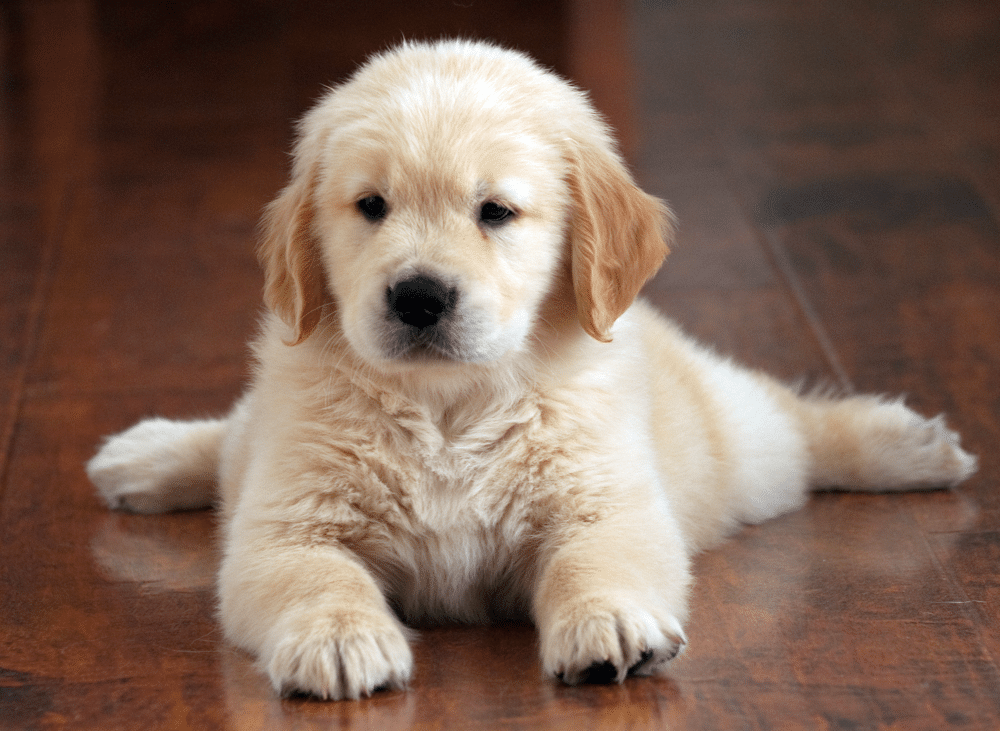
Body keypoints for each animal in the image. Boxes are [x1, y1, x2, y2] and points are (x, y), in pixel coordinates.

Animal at [88, 41, 976, 704]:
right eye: (371, 206)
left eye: (496, 212)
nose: (418, 296)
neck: (448, 408)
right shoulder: (284, 522)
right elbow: (317, 576)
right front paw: (339, 638)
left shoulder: (606, 500)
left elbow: (596, 559)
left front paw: (609, 622)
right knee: (231, 438)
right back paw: (144, 457)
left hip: (739, 449)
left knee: (792, 419)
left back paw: (910, 445)